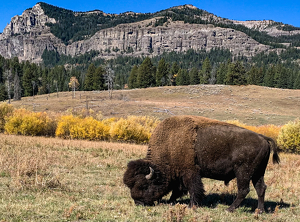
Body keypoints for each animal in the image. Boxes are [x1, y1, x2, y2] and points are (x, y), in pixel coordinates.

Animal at [123, 115, 280, 212]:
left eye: (144, 185)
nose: (138, 202)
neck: (170, 144)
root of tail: (263, 138)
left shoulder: (190, 172)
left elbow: (193, 188)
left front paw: (191, 206)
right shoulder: (180, 174)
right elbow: (178, 189)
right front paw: (172, 201)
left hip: (243, 172)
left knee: (244, 190)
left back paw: (229, 209)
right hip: (258, 173)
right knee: (261, 188)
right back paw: (260, 211)